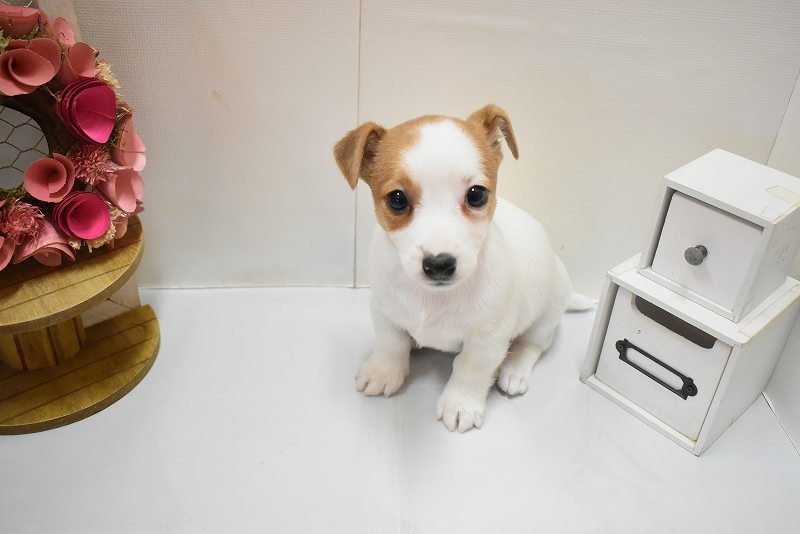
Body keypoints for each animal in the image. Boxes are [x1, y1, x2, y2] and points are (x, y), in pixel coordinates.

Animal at [334, 104, 590, 432]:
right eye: (397, 199)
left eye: (477, 194)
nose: (439, 264)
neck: (432, 299)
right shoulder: (384, 312)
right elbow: (390, 344)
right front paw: (383, 372)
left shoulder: (487, 341)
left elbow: (470, 369)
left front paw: (460, 404)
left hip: (546, 315)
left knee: (532, 345)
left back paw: (514, 369)